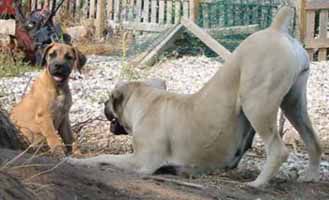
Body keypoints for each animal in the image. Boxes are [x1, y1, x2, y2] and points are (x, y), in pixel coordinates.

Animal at [68, 6, 320, 188]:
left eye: (109, 101)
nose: (103, 105)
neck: (147, 101)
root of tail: (277, 29)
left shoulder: (141, 162)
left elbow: (102, 157)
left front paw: (74, 160)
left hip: (257, 105)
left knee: (278, 149)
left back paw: (256, 183)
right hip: (294, 103)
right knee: (313, 141)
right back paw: (309, 175)